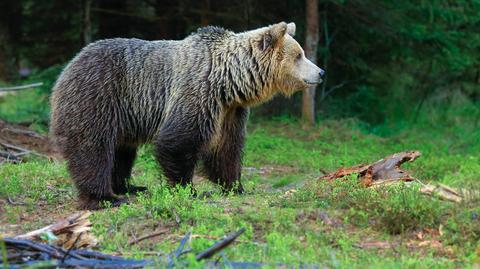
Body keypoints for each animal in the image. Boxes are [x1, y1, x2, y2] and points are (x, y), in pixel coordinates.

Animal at [49, 21, 322, 209]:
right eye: (299, 55)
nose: (321, 72)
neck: (229, 81)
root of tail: (69, 65)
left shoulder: (230, 112)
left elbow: (226, 150)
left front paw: (236, 186)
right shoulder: (198, 92)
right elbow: (178, 141)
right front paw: (188, 189)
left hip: (123, 117)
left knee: (122, 151)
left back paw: (130, 186)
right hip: (98, 95)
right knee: (93, 148)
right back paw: (105, 197)